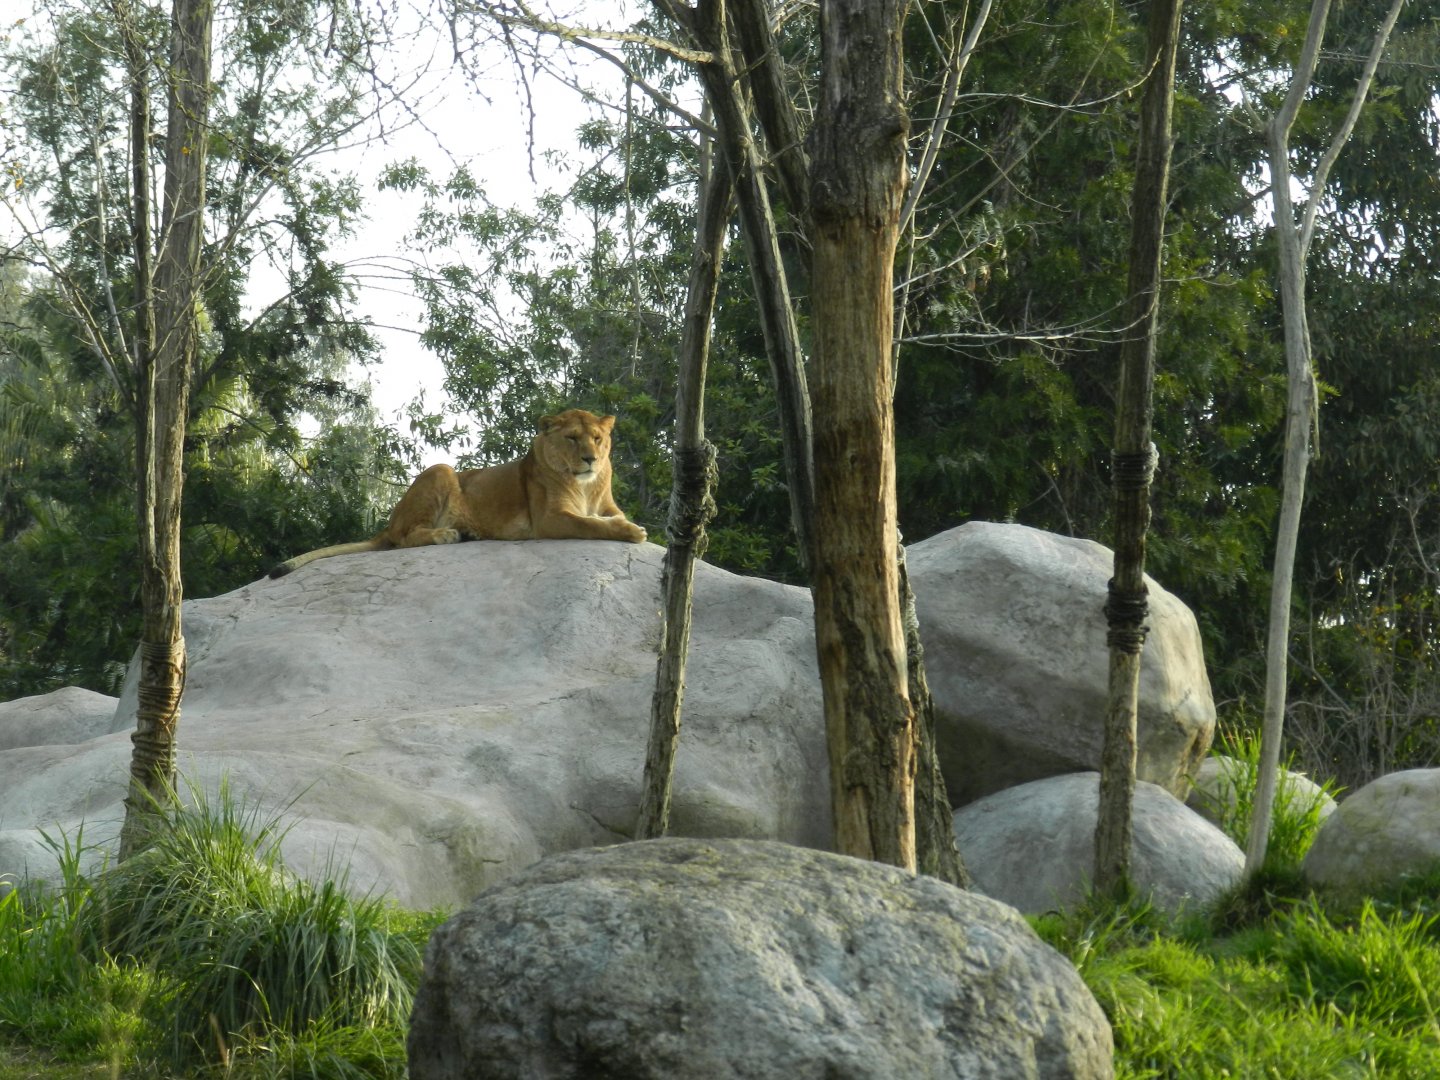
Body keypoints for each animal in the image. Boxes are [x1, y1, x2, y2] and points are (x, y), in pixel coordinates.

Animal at [268, 409, 647, 578]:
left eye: (597, 438)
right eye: (571, 438)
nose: (591, 458)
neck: (586, 484)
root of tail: (387, 523)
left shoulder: (606, 506)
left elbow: (605, 517)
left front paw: (628, 526)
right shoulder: (549, 520)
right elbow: (591, 524)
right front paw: (632, 532)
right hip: (441, 470)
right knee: (404, 537)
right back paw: (447, 534)